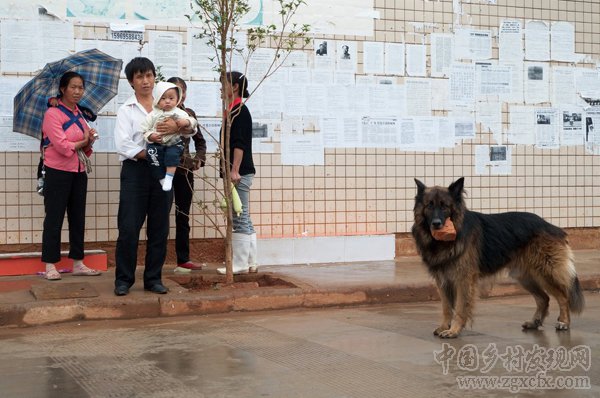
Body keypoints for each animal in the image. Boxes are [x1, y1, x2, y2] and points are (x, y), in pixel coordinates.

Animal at [410, 179, 584, 338]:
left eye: (444, 206)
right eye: (429, 206)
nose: (436, 224)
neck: (445, 241)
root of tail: (551, 225)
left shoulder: (463, 280)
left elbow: (460, 307)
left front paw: (454, 330)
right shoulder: (443, 281)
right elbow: (446, 308)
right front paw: (444, 326)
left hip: (545, 273)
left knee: (563, 296)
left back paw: (564, 322)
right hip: (525, 277)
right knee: (544, 298)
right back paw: (535, 322)